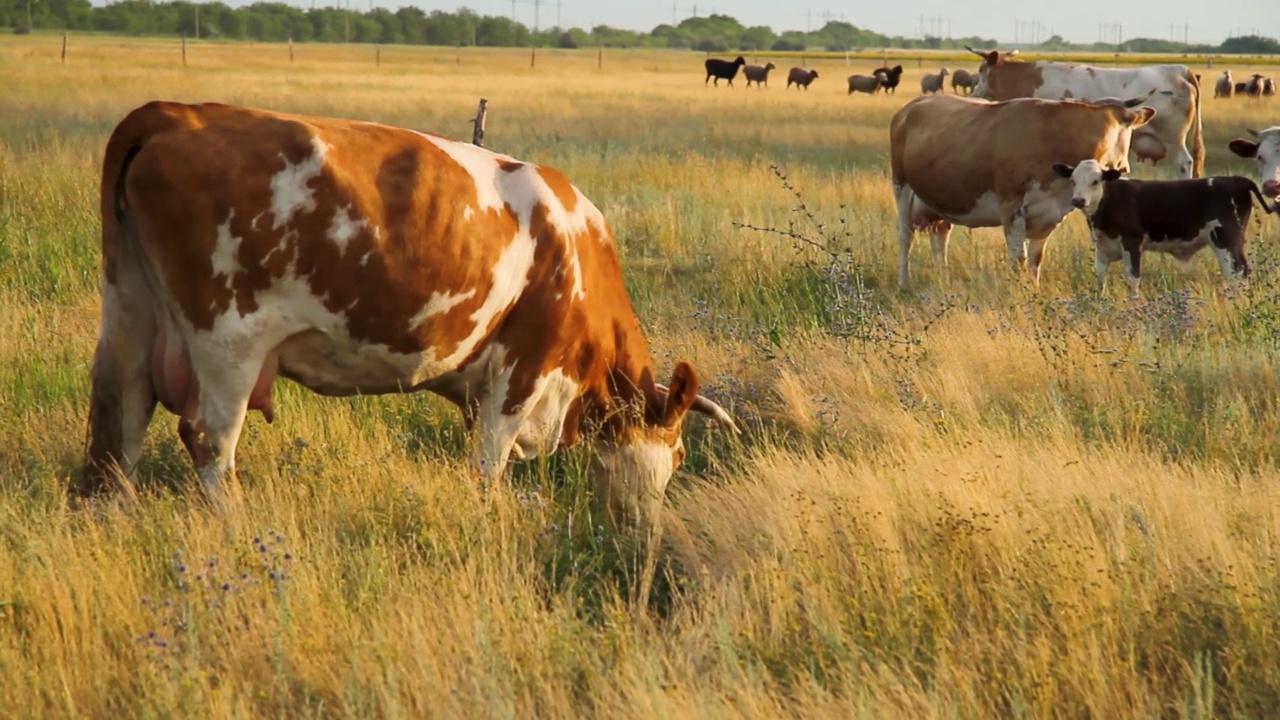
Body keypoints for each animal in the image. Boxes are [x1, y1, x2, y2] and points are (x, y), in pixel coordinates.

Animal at [896, 92, 1157, 285]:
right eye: (1126, 130)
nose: (1124, 167)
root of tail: (913, 105)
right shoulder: (1011, 206)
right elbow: (1017, 258)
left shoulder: (1050, 213)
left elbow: (1034, 259)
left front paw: (1033, 291)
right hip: (902, 188)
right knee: (905, 238)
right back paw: (904, 282)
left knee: (939, 239)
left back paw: (943, 279)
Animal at [962, 47, 1203, 178]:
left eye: (981, 70)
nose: (974, 91)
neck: (1023, 76)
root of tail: (1178, 70)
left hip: (1173, 140)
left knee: (1184, 164)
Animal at [1049, 160, 1269, 297]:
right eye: (1072, 180)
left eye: (1095, 181)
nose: (1078, 200)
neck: (1109, 200)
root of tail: (1237, 179)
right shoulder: (1102, 244)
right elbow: (1100, 276)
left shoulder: (1132, 241)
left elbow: (1132, 278)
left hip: (1225, 239)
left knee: (1235, 271)